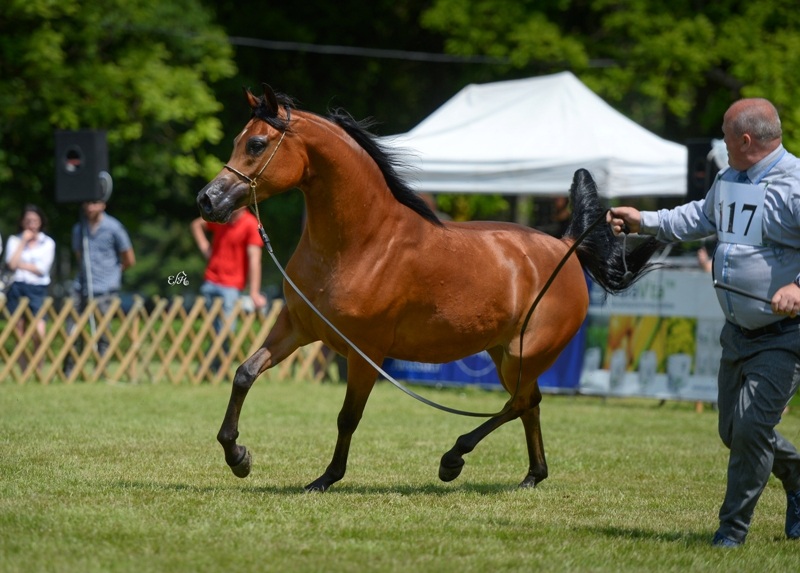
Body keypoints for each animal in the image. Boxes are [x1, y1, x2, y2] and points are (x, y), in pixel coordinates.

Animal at [194, 84, 656, 492]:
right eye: (238, 140)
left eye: (256, 144)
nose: (207, 200)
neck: (361, 243)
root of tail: (566, 247)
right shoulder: (298, 328)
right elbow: (244, 373)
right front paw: (238, 457)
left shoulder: (365, 352)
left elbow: (347, 417)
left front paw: (325, 479)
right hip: (505, 353)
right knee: (530, 404)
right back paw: (531, 476)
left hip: (524, 355)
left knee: (520, 403)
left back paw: (453, 459)